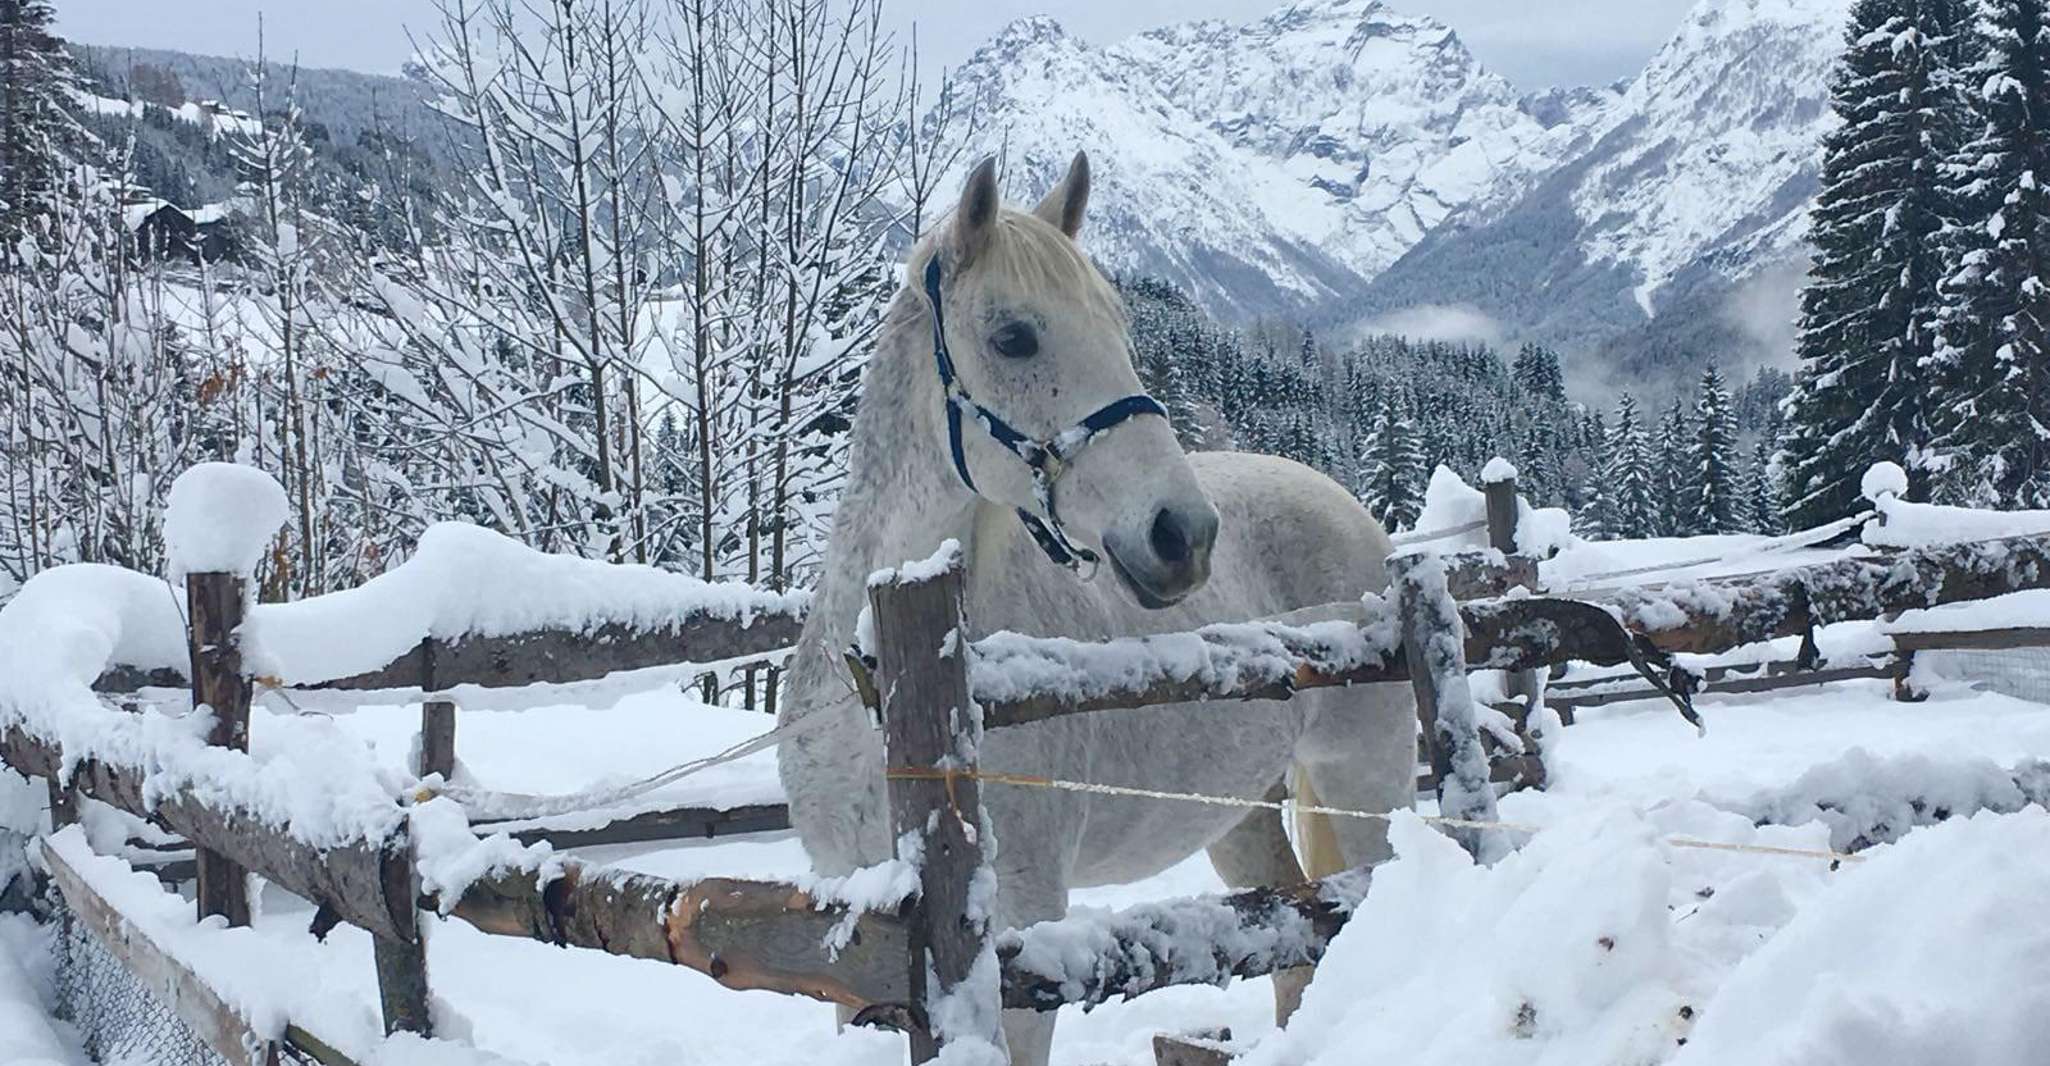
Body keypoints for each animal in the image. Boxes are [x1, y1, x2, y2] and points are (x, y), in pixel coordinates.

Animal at [776, 151, 1415, 1065]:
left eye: (1119, 327)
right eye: (1015, 335)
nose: (1183, 534)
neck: (890, 688)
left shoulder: (1017, 935)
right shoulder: (855, 938)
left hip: (1363, 784)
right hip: (1240, 816)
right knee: (1295, 944)